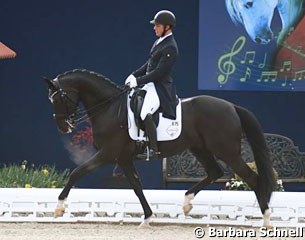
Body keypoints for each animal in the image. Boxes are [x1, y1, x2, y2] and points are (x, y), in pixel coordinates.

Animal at [45, 69, 276, 227]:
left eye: (58, 98)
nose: (63, 127)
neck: (109, 107)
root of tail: (231, 106)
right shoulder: (123, 159)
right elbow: (136, 186)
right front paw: (147, 218)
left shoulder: (108, 154)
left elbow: (77, 172)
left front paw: (58, 207)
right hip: (200, 148)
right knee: (214, 172)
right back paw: (187, 202)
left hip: (227, 151)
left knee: (252, 178)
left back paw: (266, 219)